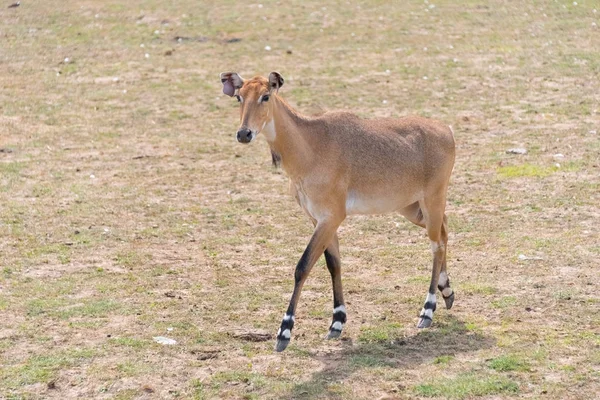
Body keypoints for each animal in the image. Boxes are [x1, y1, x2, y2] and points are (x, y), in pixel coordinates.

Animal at [220, 70, 454, 352]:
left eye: (265, 96)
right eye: (239, 97)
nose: (244, 133)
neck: (310, 146)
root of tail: (447, 131)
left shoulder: (331, 217)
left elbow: (303, 266)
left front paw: (284, 332)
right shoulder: (317, 219)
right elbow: (333, 263)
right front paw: (337, 322)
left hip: (432, 200)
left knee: (436, 245)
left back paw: (427, 310)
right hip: (412, 209)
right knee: (444, 231)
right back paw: (447, 291)